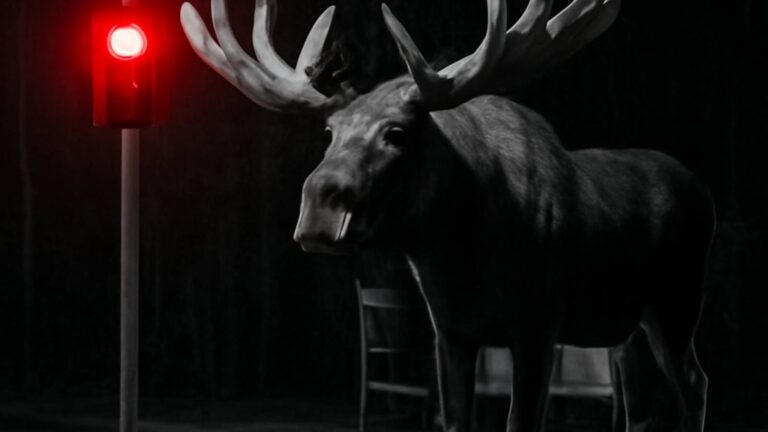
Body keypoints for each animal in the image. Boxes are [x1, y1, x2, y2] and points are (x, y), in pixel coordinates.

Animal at [180, 0, 714, 431]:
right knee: (640, 402)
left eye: (396, 133)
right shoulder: (452, 332)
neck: (458, 246)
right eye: (329, 131)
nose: (318, 205)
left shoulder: (538, 327)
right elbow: (455, 419)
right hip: (629, 326)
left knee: (694, 383)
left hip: (676, 304)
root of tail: (702, 191)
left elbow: (522, 420)